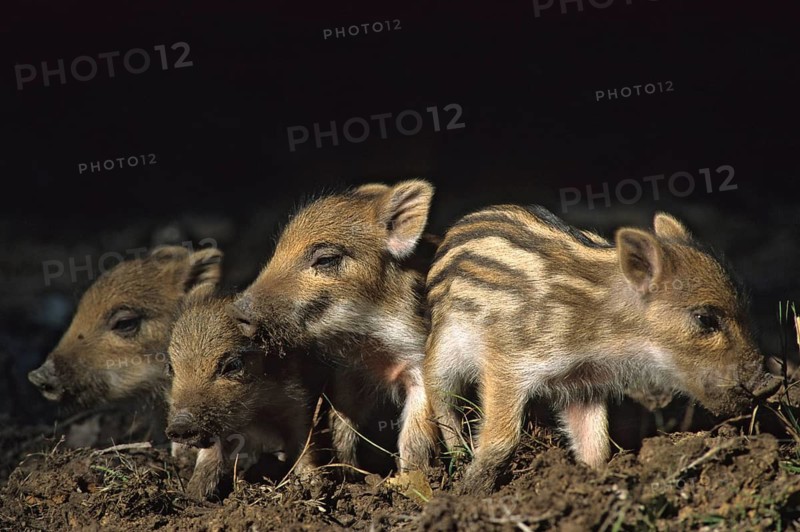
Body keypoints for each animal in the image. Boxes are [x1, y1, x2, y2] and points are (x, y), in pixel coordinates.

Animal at [166, 293, 329, 500]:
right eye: (170, 367)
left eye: (232, 366)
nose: (180, 425)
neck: (255, 413)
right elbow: (209, 457)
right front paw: (194, 494)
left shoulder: (298, 405)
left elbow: (304, 447)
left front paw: (315, 486)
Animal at [229, 180, 437, 472]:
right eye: (279, 250)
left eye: (326, 260)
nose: (237, 311)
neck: (370, 340)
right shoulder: (348, 372)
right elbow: (341, 425)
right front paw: (347, 472)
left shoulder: (419, 360)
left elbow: (414, 438)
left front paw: (409, 479)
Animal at [421, 205, 780, 494]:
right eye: (705, 319)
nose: (770, 383)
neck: (604, 331)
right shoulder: (507, 361)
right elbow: (501, 439)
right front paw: (468, 494)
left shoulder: (583, 384)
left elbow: (595, 444)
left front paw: (593, 483)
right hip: (444, 347)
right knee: (437, 391)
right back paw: (457, 457)